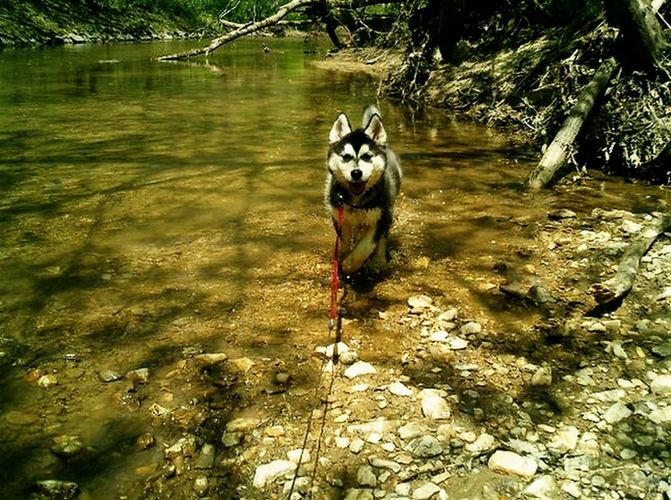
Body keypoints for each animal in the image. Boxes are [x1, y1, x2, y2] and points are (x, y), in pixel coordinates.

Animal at [326, 106, 402, 276]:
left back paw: (378, 261)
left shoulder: (380, 217)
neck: (356, 202)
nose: (356, 173)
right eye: (346, 156)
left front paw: (350, 264)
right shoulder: (340, 217)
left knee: (382, 239)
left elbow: (366, 245)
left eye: (367, 156)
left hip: (387, 211)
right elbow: (345, 241)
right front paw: (344, 257)